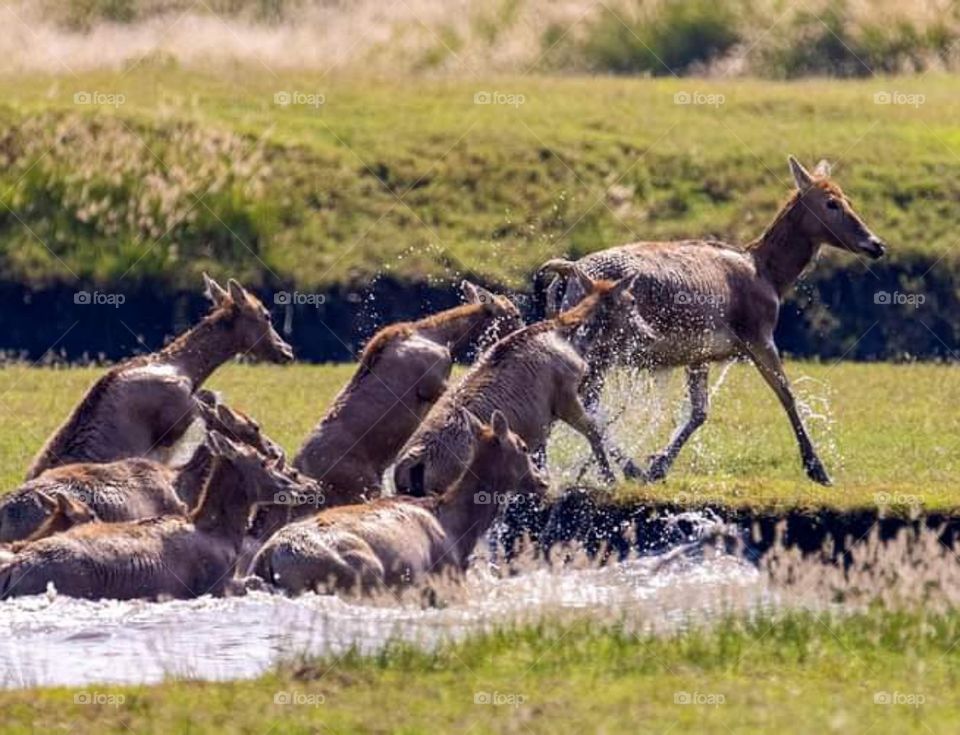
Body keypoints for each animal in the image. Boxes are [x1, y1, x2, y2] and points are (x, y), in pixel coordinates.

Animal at [0, 432, 299, 601]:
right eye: (263, 462)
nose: (294, 486)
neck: (224, 535)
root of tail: (13, 566)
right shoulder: (214, 585)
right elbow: (259, 583)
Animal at [250, 410, 548, 595]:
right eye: (523, 446)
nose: (542, 481)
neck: (460, 530)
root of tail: (267, 556)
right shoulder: (446, 576)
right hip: (362, 572)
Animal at [293, 281, 522, 505]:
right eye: (515, 313)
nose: (521, 330)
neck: (445, 338)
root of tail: (300, 467)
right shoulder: (432, 385)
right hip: (360, 485)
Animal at [392, 275, 656, 498]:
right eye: (632, 301)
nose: (650, 335)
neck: (572, 339)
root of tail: (410, 466)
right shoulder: (564, 393)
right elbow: (594, 430)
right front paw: (612, 479)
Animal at [537, 156, 886, 485]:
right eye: (831, 202)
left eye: (849, 199)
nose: (877, 244)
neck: (771, 276)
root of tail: (566, 276)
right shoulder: (758, 333)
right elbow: (786, 392)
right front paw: (818, 469)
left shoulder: (700, 352)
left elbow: (700, 411)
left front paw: (659, 465)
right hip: (600, 347)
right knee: (583, 402)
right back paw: (622, 468)